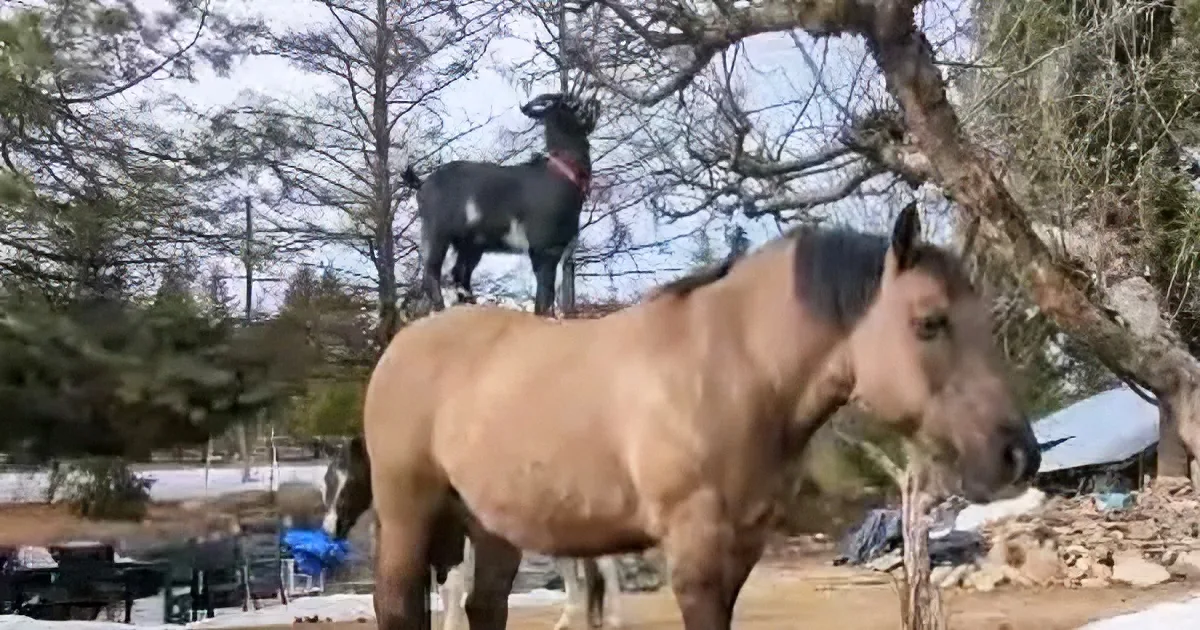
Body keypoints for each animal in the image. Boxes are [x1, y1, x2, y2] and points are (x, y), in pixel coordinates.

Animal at [400, 92, 600, 317]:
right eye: (575, 104)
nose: (596, 102)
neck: (563, 171)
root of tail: (422, 183)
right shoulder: (544, 248)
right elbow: (543, 296)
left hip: (471, 244)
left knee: (460, 273)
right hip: (437, 232)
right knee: (432, 273)